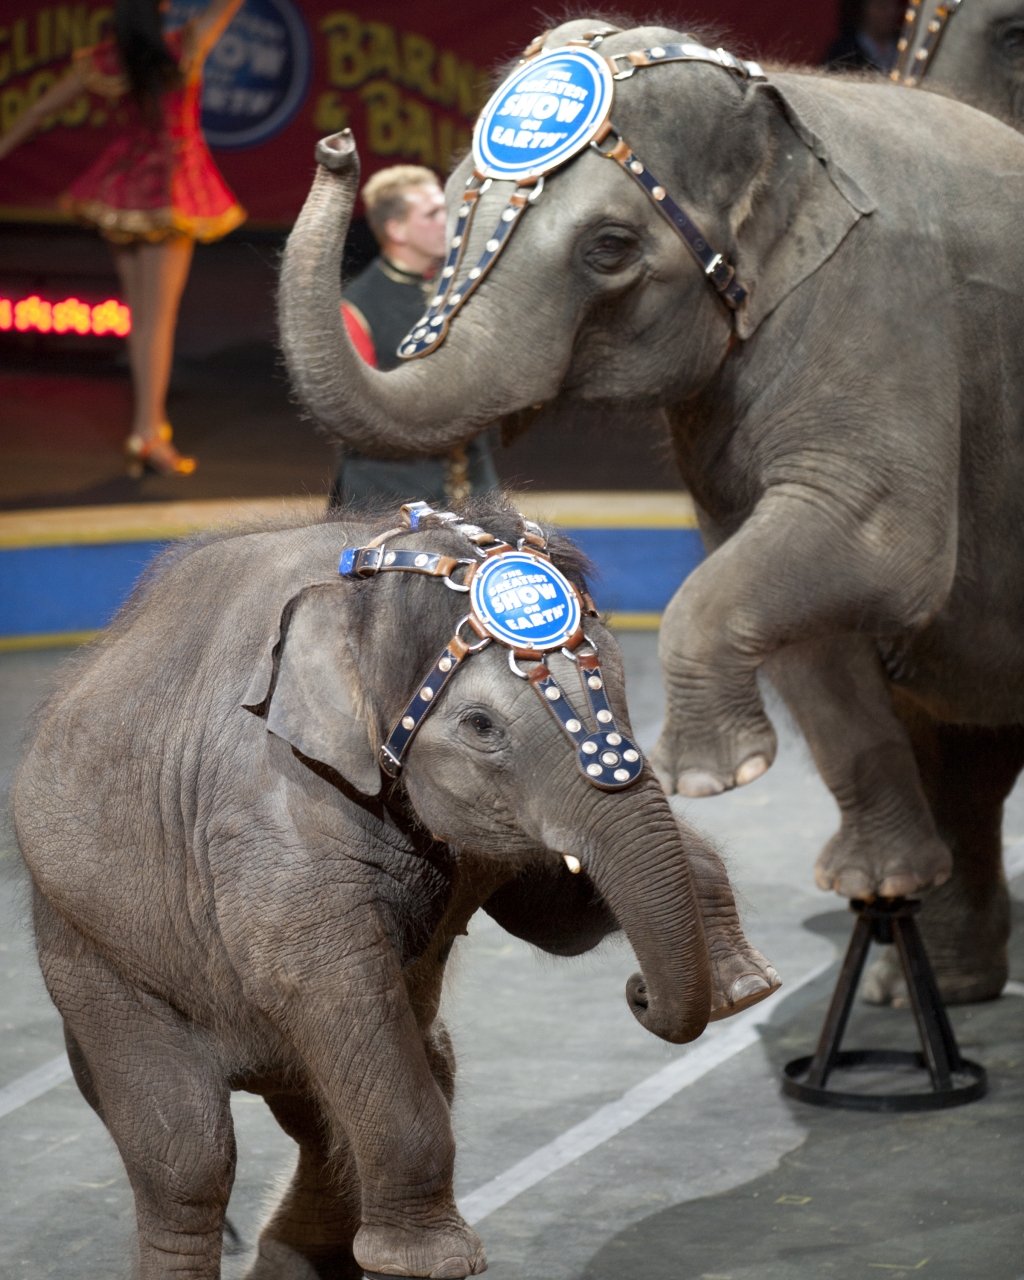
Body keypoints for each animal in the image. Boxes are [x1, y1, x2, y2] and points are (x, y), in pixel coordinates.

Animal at [14, 501, 778, 1280]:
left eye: (621, 688)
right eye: (481, 725)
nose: (640, 994)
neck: (368, 570)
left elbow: (555, 921)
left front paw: (745, 986)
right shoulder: (267, 806)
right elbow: (320, 977)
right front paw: (434, 1261)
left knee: (354, 1109)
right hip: (92, 958)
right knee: (188, 1161)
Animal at [276, 15, 1024, 1003]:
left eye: (608, 248)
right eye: (455, 203)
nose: (335, 146)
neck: (786, 105)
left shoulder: (881, 311)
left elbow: (880, 547)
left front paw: (709, 778)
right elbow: (788, 599)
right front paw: (872, 873)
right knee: (975, 758)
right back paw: (925, 975)